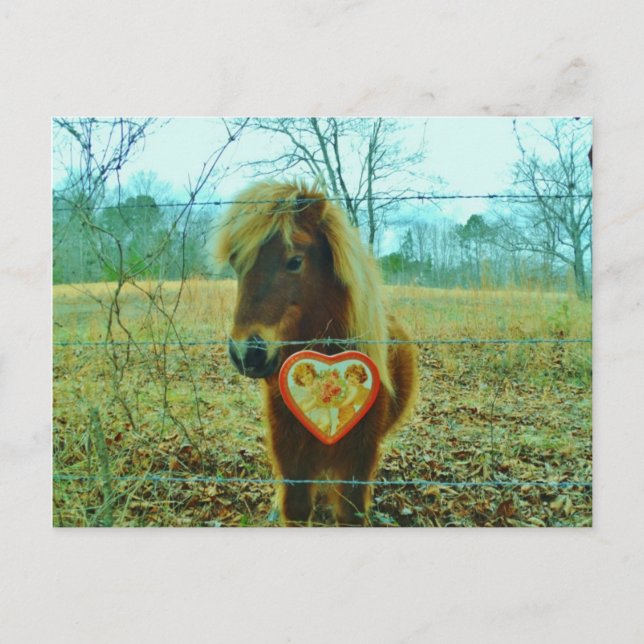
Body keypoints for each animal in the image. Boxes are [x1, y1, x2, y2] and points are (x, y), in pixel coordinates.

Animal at [215, 180, 418, 525]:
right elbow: (295, 508)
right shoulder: (290, 455)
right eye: (236, 264)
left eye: (295, 261)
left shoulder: (357, 460)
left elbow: (349, 512)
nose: (246, 352)